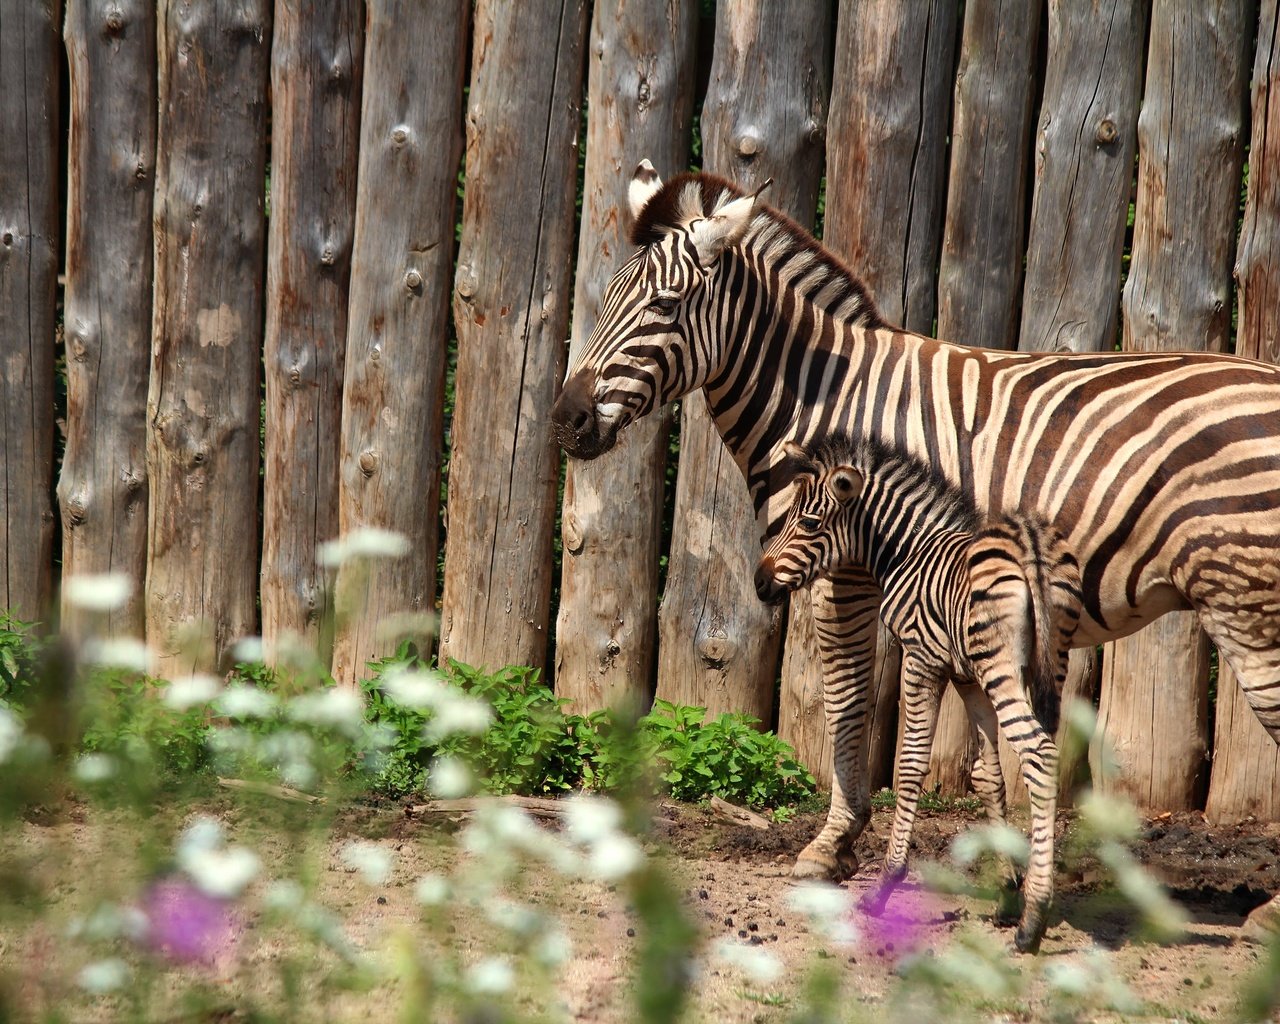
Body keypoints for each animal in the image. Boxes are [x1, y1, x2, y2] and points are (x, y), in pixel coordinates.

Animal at [752, 432, 1085, 952]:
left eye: (807, 523)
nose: (760, 582)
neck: (909, 549)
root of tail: (1028, 541)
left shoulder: (921, 657)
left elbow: (910, 765)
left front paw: (886, 883)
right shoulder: (968, 678)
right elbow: (990, 776)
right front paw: (1006, 891)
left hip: (1003, 670)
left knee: (1040, 754)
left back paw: (1035, 921)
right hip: (1048, 662)